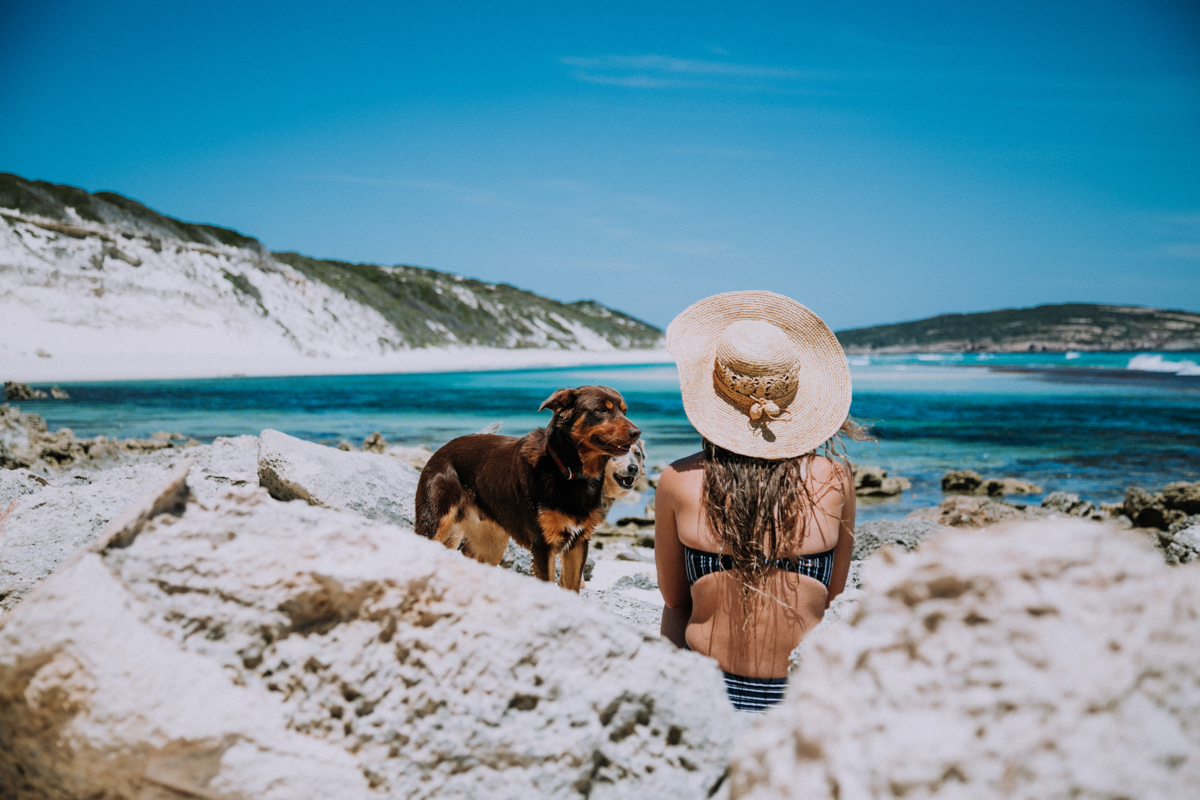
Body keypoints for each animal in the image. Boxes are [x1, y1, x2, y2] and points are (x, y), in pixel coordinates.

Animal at [412, 383, 638, 592]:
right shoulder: (544, 545)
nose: (637, 432)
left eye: (625, 411)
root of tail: (441, 449)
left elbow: (572, 588)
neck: (568, 469)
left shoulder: (578, 543)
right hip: (435, 524)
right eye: (602, 410)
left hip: (492, 543)